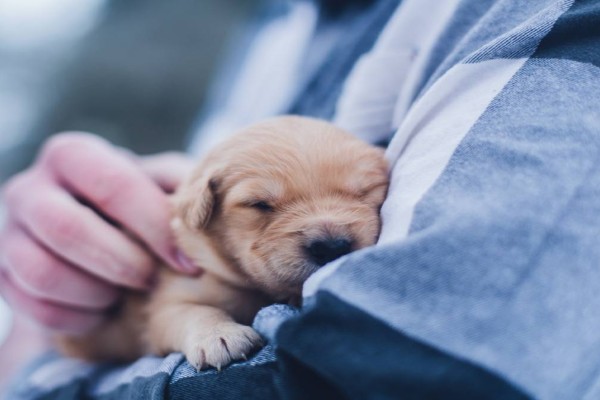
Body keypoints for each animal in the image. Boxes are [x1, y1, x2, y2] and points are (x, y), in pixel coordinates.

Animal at [57, 115, 390, 368]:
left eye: (364, 191)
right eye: (259, 204)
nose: (331, 247)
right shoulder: (168, 300)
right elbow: (192, 311)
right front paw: (219, 336)